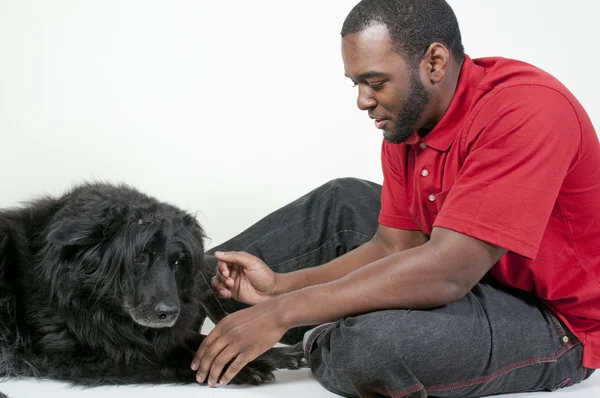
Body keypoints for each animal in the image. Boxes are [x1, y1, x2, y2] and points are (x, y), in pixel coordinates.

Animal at [0, 183, 302, 392]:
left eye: (178, 262)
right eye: (138, 258)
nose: (169, 313)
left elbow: (201, 340)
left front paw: (278, 354)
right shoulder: (83, 356)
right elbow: (175, 358)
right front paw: (243, 368)